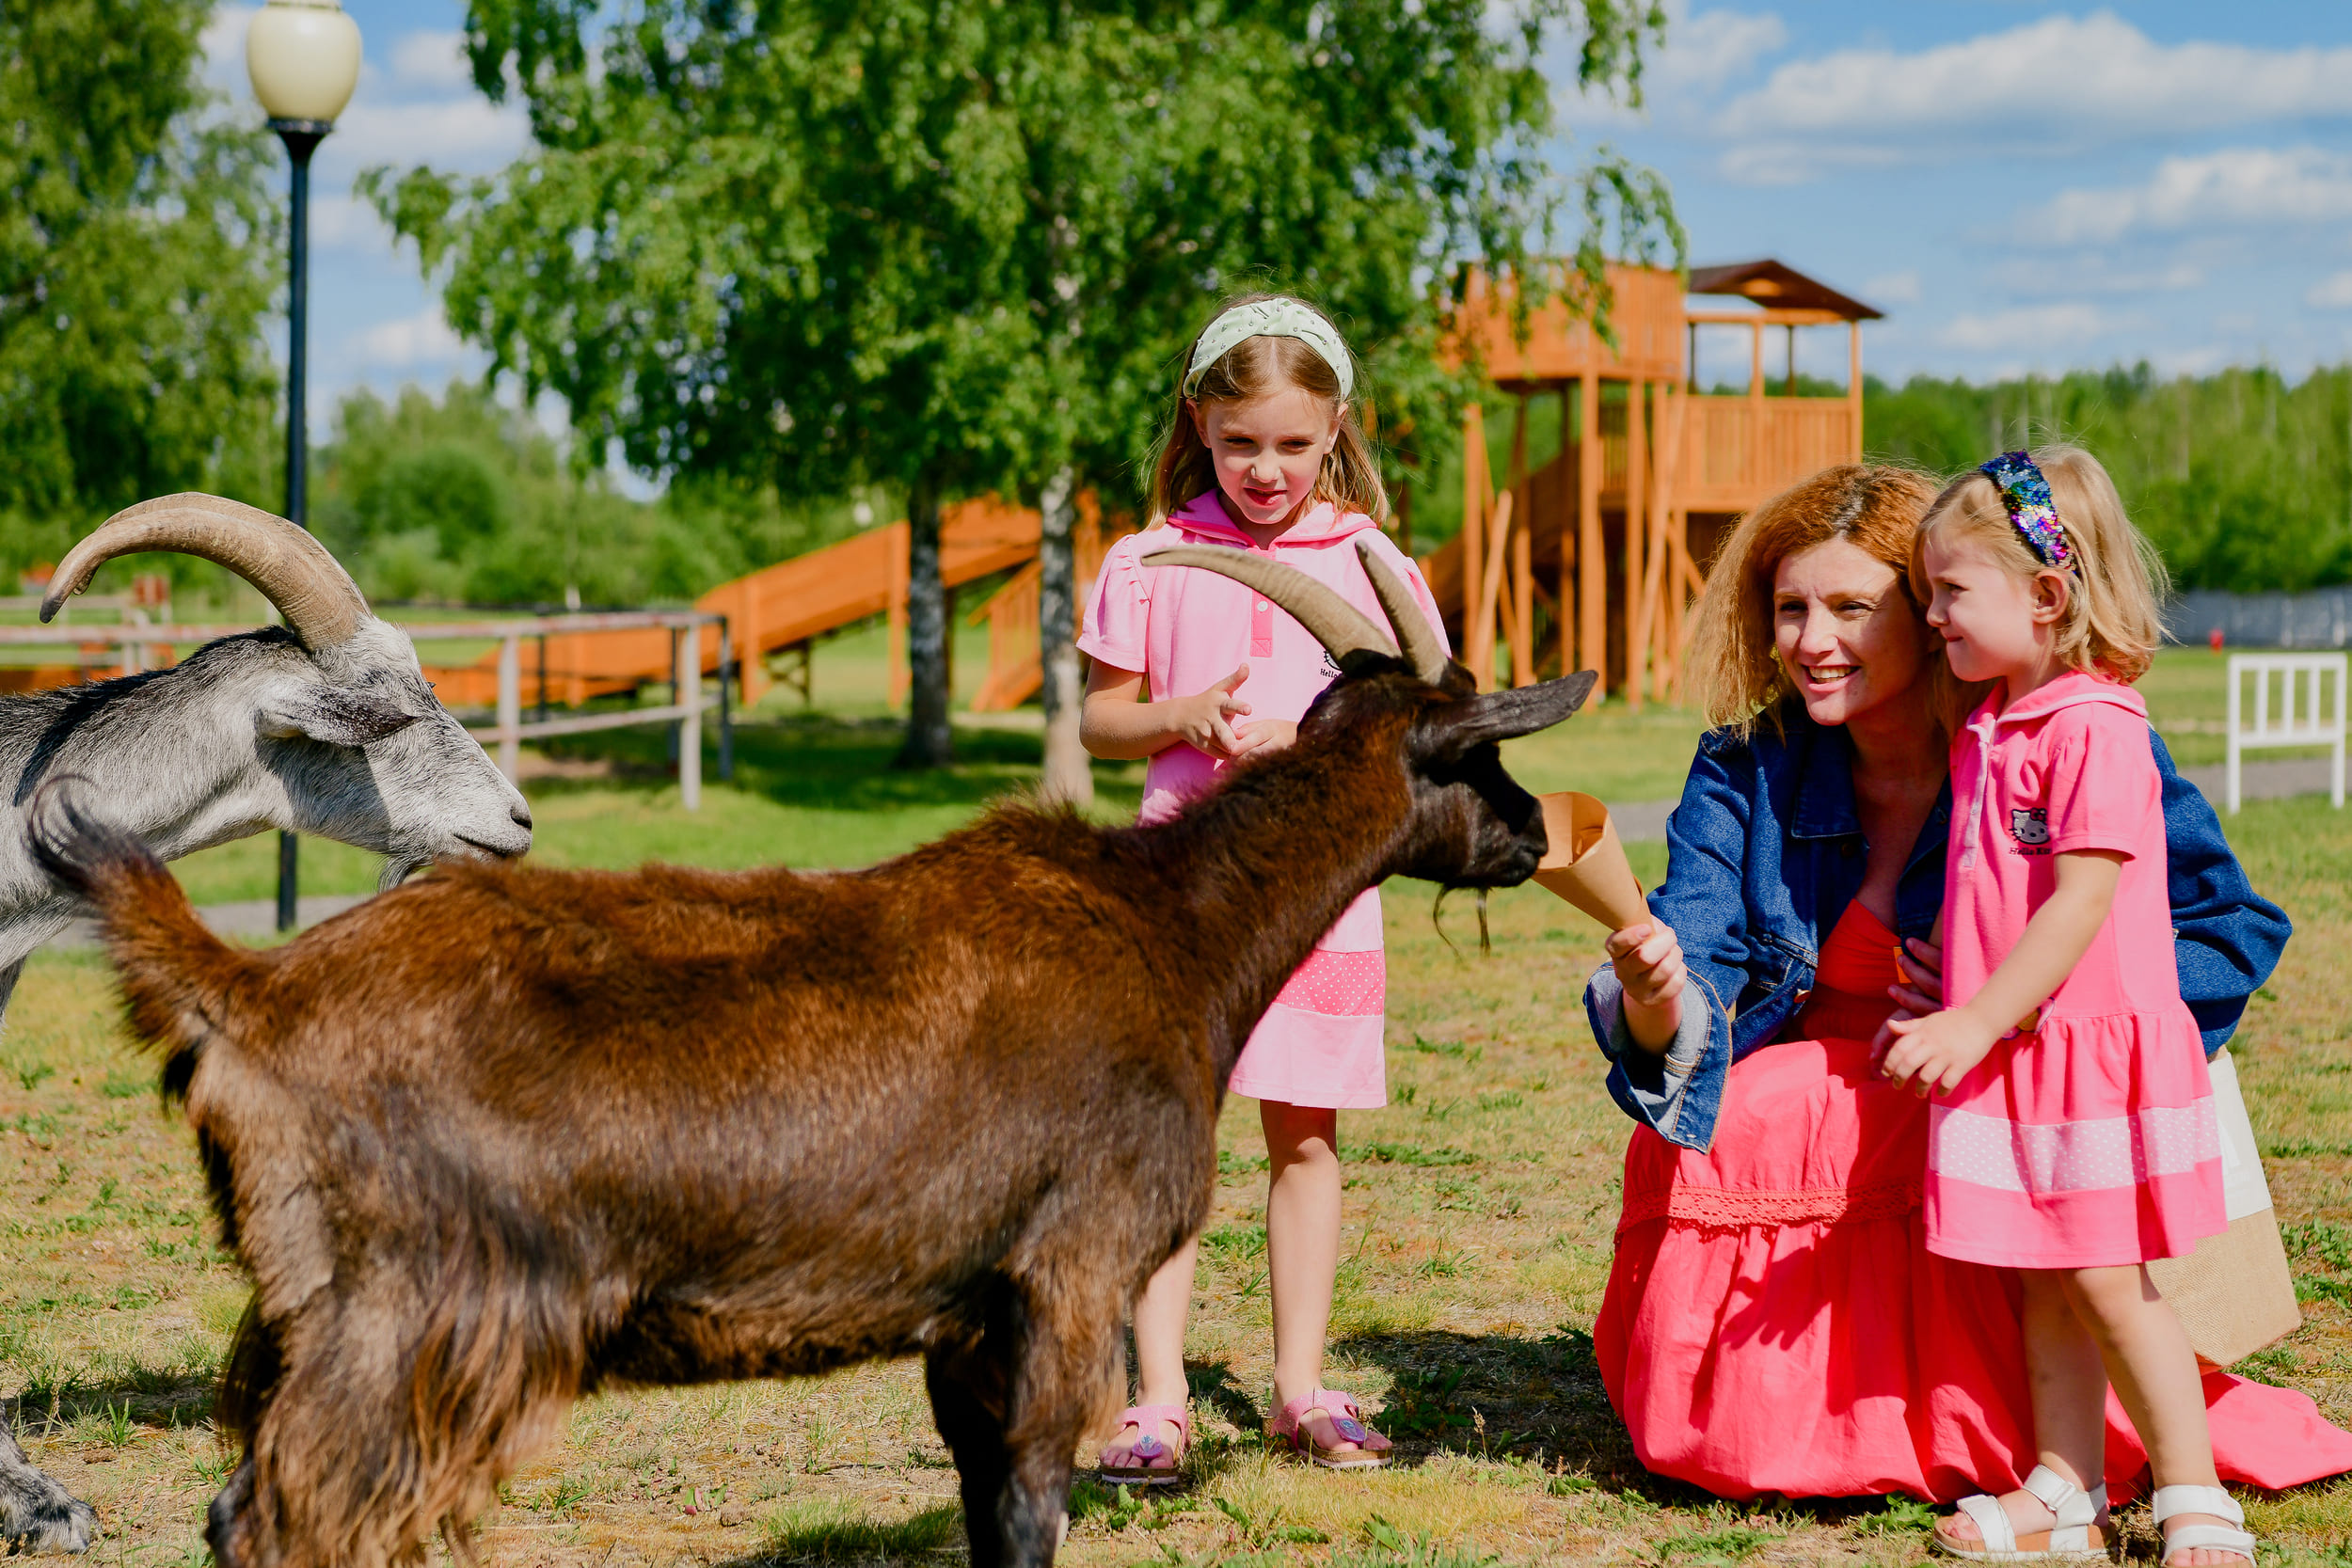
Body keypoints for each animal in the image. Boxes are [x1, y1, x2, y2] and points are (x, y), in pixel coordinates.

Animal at [41, 543, 1599, 1568]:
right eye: (1476, 753)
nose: (1537, 831)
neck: (1173, 930)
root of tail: (246, 984)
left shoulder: (967, 1305)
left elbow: (982, 1503)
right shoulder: (1069, 1264)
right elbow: (1028, 1509)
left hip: (302, 1309)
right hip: (404, 1314)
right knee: (270, 1521)